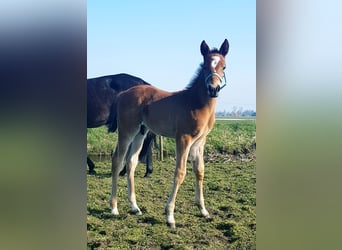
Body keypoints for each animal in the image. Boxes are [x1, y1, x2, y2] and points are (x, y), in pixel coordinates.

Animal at [109, 39, 230, 229]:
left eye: (224, 67)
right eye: (205, 66)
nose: (213, 89)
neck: (195, 103)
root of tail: (122, 94)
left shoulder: (200, 141)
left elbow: (200, 171)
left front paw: (203, 211)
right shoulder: (183, 139)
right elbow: (180, 172)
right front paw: (170, 216)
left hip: (140, 133)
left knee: (131, 162)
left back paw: (135, 207)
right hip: (127, 131)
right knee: (117, 160)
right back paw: (114, 208)